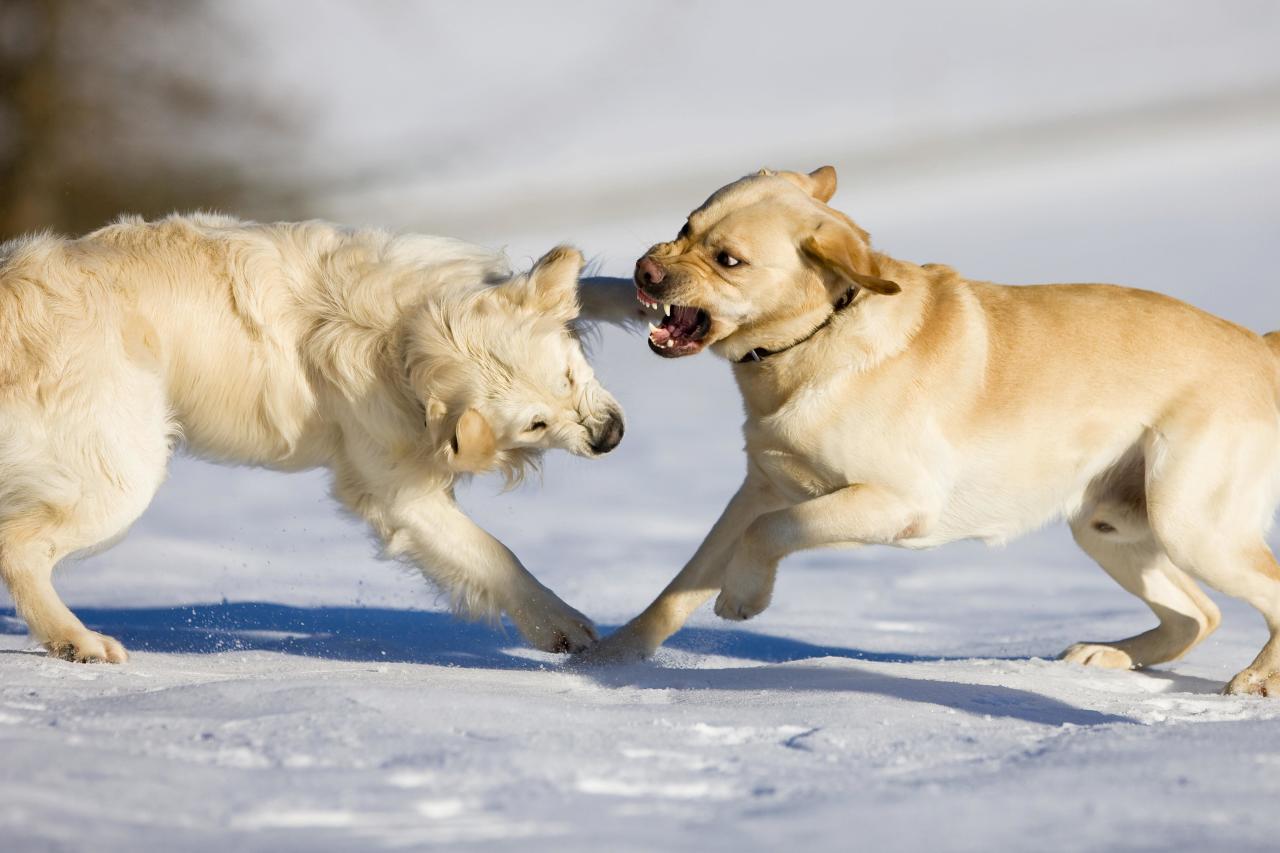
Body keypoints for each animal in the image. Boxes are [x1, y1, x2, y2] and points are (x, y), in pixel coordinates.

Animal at [0, 211, 629, 655]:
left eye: (568, 375)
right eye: (535, 423)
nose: (610, 437)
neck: (404, 333)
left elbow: (595, 289)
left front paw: (640, 290)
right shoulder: (400, 495)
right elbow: (496, 556)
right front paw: (564, 625)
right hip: (121, 474)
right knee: (18, 547)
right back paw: (77, 642)